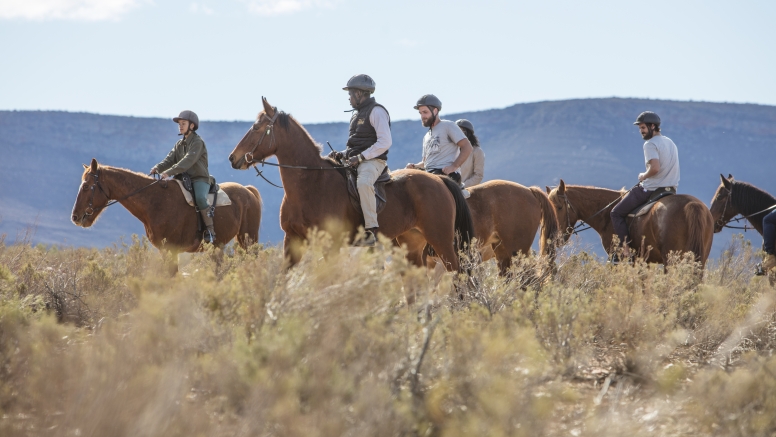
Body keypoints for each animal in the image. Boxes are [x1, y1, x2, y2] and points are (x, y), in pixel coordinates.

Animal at [71, 157, 262, 272]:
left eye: (86, 186)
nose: (75, 217)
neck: (155, 201)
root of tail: (248, 191)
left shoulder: (171, 250)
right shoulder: (164, 251)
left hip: (248, 240)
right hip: (220, 247)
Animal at [227, 97, 476, 270]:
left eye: (256, 127)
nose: (233, 157)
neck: (311, 183)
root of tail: (439, 179)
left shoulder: (331, 246)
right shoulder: (292, 240)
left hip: (441, 240)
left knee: (458, 274)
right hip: (412, 242)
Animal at [548, 179, 712, 268]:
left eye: (559, 207)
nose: (556, 238)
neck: (607, 213)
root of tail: (692, 205)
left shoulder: (616, 258)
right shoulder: (643, 261)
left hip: (670, 260)